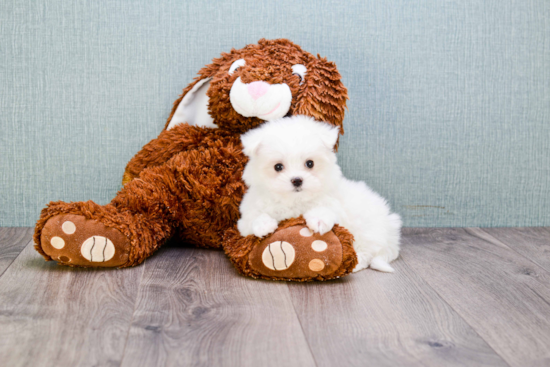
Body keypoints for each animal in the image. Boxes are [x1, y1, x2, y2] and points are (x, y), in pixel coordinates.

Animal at [239, 115, 404, 274]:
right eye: (278, 167)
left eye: (310, 163)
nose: (297, 180)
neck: (296, 201)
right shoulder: (246, 218)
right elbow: (252, 219)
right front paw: (263, 224)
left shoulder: (336, 207)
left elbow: (326, 209)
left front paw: (319, 220)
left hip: (367, 230)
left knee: (366, 252)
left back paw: (355, 265)